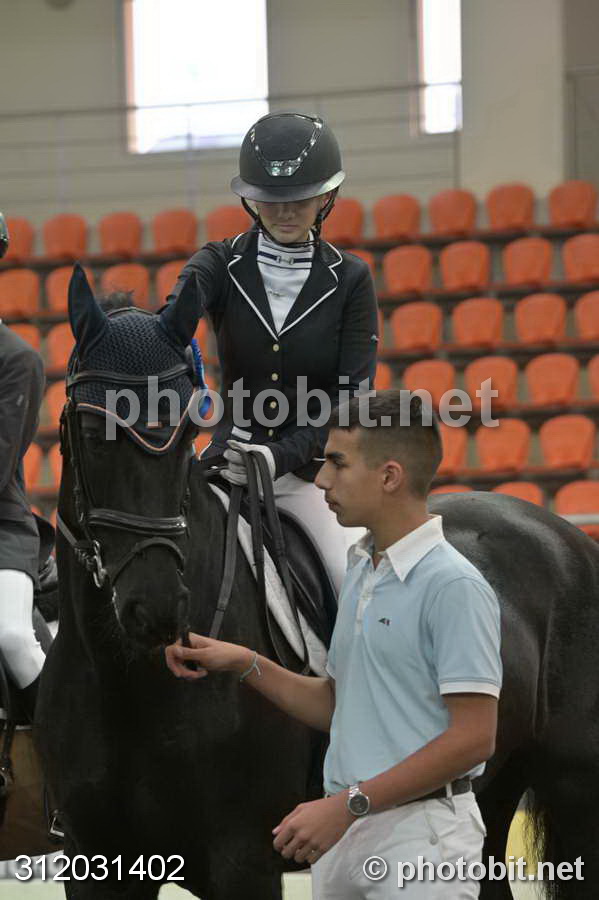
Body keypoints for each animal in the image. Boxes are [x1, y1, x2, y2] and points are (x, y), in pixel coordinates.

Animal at [36, 265, 599, 899]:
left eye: (184, 432)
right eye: (90, 430)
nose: (156, 608)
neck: (125, 680)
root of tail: (562, 533)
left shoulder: (242, 861)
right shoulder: (96, 860)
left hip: (577, 785)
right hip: (493, 789)